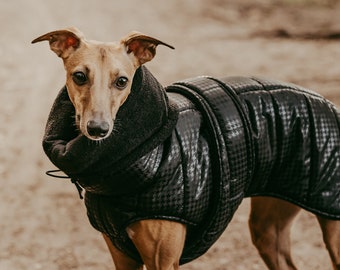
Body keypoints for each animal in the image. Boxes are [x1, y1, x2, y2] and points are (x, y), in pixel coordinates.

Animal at [32, 28, 340, 270]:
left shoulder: (164, 260)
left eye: (122, 81)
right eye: (79, 76)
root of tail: (329, 104)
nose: (98, 129)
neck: (148, 150)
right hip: (269, 228)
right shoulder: (122, 256)